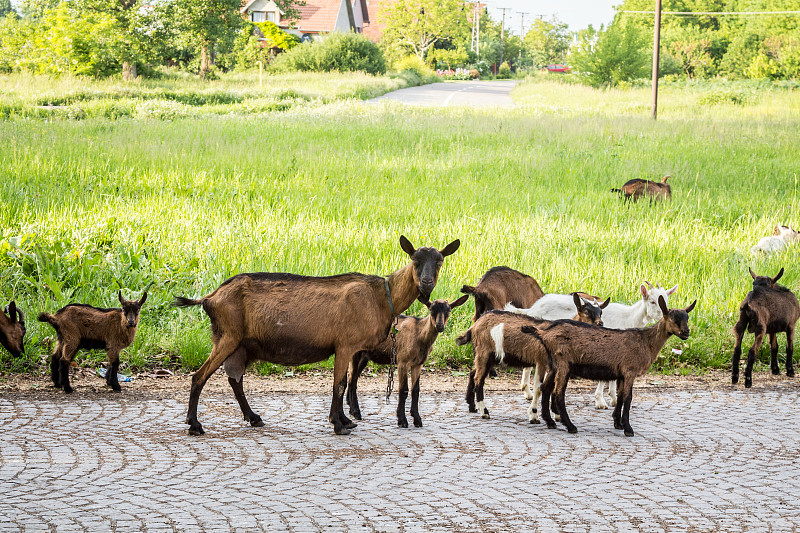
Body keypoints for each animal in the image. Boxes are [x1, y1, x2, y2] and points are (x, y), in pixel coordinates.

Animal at [348, 294, 472, 426]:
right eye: (431, 309)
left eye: (448, 311)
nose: (440, 326)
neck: (420, 335)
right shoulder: (402, 361)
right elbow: (403, 390)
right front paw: (402, 420)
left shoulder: (418, 364)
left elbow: (416, 390)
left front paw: (417, 419)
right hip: (355, 352)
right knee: (352, 379)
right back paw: (356, 412)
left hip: (364, 356)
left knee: (352, 378)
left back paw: (351, 409)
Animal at [524, 296, 692, 436]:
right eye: (673, 318)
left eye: (687, 317)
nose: (686, 333)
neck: (645, 341)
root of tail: (544, 334)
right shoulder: (630, 371)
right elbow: (628, 398)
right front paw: (628, 428)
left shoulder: (622, 374)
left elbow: (620, 396)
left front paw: (617, 423)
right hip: (563, 363)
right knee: (558, 393)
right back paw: (570, 426)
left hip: (554, 364)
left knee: (545, 388)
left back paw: (550, 422)